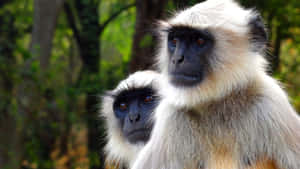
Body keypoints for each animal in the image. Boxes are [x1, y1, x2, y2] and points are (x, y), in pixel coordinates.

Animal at [132, 0, 300, 169]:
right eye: (174, 41)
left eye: (199, 41)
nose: (177, 59)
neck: (218, 106)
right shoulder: (171, 116)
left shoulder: (272, 103)